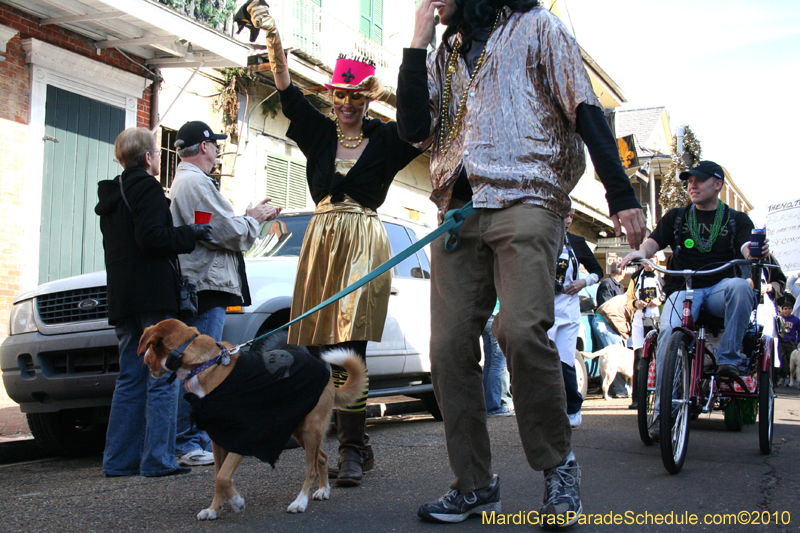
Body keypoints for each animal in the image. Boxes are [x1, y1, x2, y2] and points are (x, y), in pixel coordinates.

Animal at [139, 318, 368, 516]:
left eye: (148, 347)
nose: (144, 362)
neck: (204, 364)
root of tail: (329, 379)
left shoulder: (243, 435)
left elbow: (223, 476)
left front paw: (236, 502)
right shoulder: (217, 439)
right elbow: (217, 477)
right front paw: (214, 510)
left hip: (311, 429)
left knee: (311, 468)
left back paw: (300, 502)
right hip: (299, 429)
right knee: (321, 458)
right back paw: (323, 490)